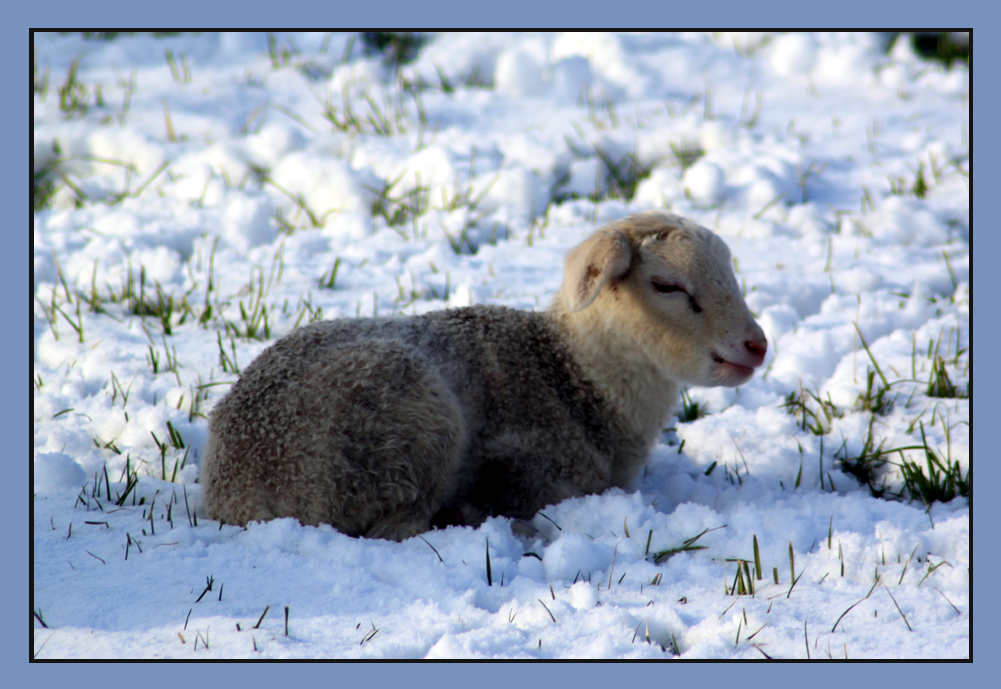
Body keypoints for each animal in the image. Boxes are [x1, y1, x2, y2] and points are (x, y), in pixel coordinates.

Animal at [201, 210, 764, 536]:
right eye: (666, 285)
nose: (757, 345)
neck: (572, 375)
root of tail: (236, 492)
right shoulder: (532, 464)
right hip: (406, 426)